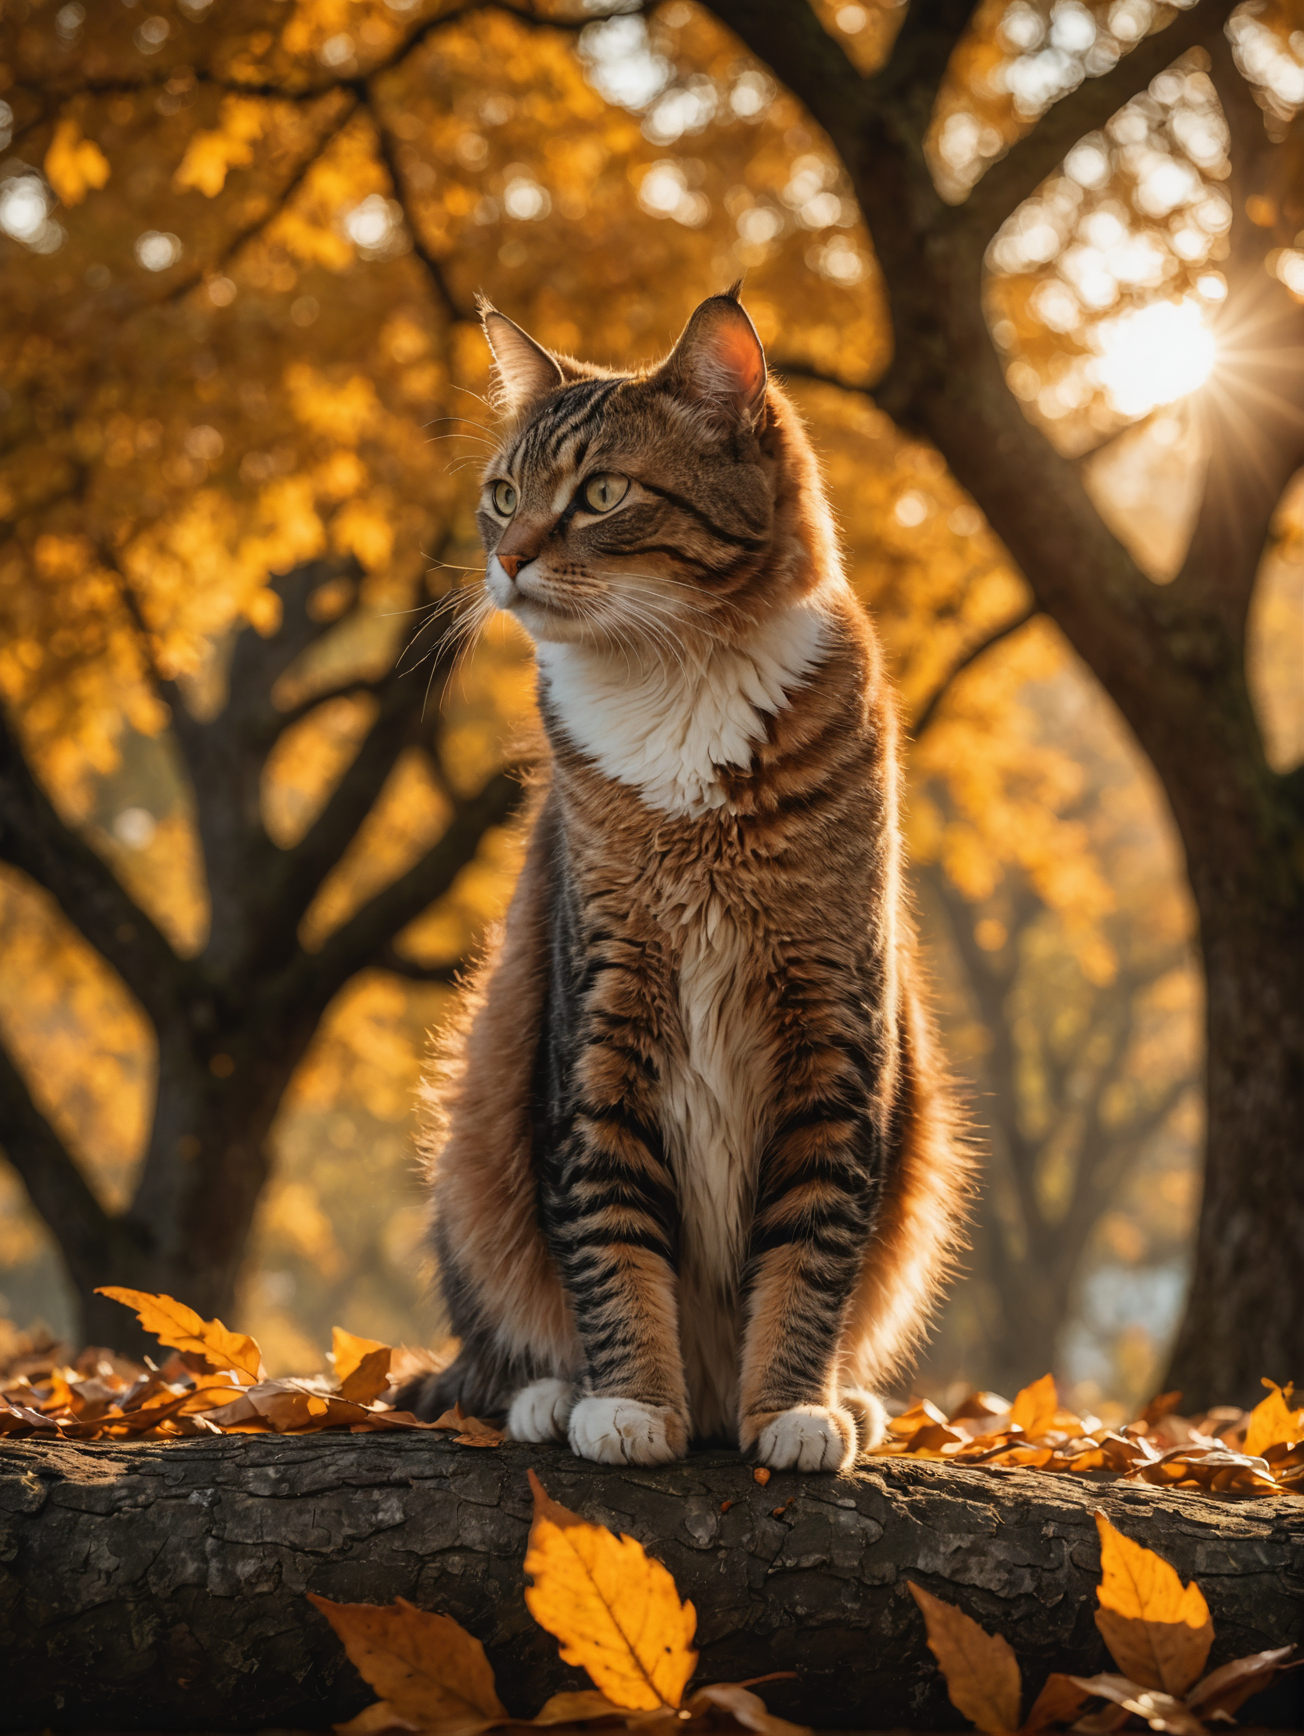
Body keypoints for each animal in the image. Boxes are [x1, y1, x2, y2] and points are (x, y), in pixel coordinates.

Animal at [397, 291, 972, 1472]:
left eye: (601, 493)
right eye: (503, 495)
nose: (506, 560)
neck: (677, 683)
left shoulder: (831, 1027)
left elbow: (813, 1244)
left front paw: (793, 1407)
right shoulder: (602, 1012)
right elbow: (609, 1232)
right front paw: (625, 1403)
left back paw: (845, 1401)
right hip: (472, 1146)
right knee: (493, 1348)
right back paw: (549, 1395)